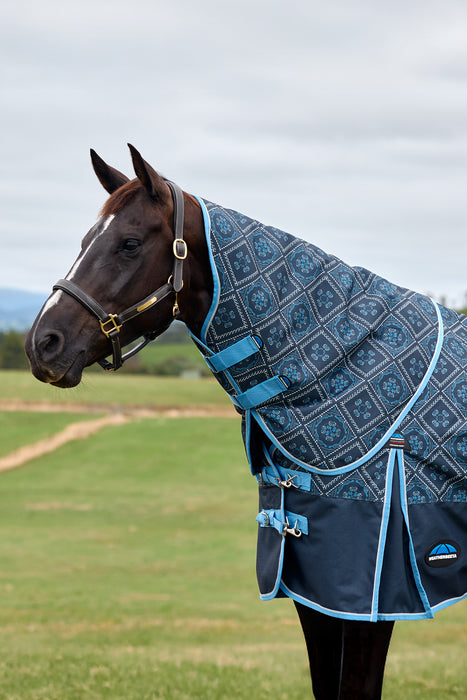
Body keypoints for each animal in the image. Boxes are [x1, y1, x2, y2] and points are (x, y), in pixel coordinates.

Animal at [25, 145, 466, 699]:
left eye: (129, 244)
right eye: (86, 240)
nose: (44, 344)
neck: (344, 367)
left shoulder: (373, 598)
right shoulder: (311, 589)